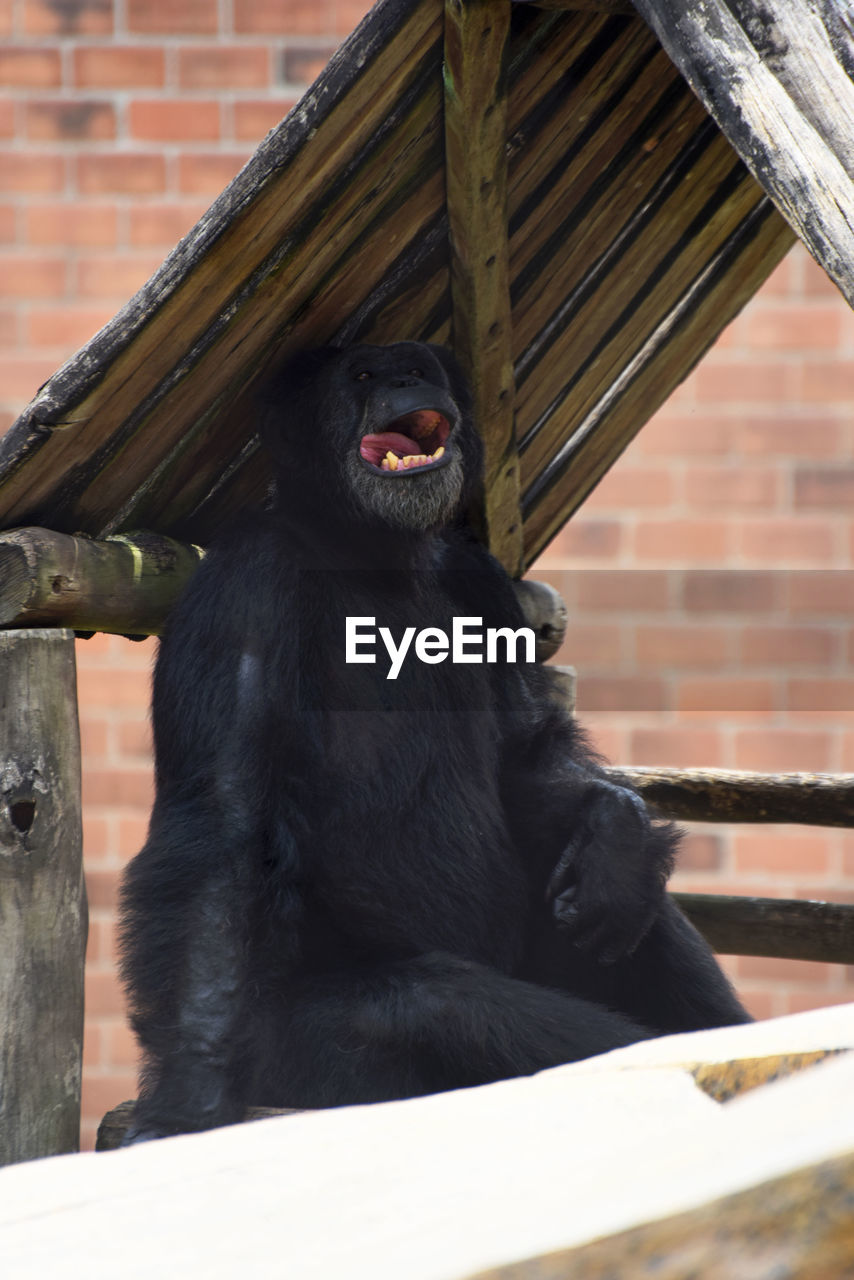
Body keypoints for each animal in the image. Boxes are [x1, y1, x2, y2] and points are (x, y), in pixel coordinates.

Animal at [120, 340, 747, 1141]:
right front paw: (187, 1102)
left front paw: (617, 829)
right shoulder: (244, 590)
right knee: (442, 1008)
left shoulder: (483, 582)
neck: (370, 550)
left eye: (417, 363)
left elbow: (522, 750)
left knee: (633, 907)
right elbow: (227, 825)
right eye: (361, 375)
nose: (404, 376)